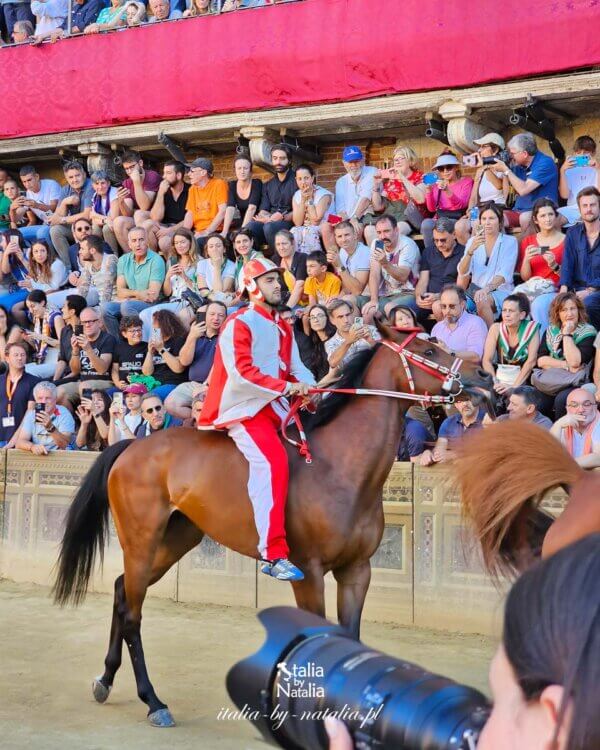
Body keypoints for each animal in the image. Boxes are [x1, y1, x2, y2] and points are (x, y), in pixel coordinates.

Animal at [51, 326, 492, 732]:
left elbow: (349, 639)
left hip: (175, 540)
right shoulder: (308, 573)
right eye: (428, 350)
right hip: (142, 541)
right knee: (132, 614)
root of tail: (132, 447)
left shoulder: (357, 571)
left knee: (122, 592)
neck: (339, 467)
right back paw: (153, 701)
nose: (483, 375)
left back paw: (106, 679)